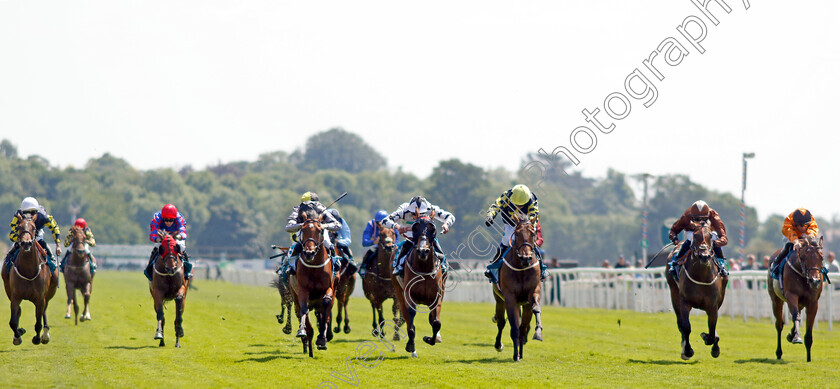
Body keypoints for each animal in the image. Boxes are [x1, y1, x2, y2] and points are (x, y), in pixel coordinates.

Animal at [0, 214, 59, 344]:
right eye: (19, 227)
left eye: (33, 227)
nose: (26, 243)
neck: (28, 271)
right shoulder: (15, 296)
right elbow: (13, 322)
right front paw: (18, 334)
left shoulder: (40, 298)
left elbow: (38, 323)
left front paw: (37, 338)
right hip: (8, 290)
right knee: (19, 312)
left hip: (49, 293)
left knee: (44, 311)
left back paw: (45, 335)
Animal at [288, 205, 336, 356]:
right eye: (303, 229)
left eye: (320, 230)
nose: (309, 253)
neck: (314, 265)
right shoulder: (302, 289)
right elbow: (304, 308)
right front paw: (302, 330)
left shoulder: (329, 287)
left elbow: (326, 304)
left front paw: (322, 339)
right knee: (303, 312)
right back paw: (308, 344)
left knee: (325, 312)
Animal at [394, 214, 446, 356]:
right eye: (415, 228)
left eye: (432, 229)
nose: (423, 251)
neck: (424, 269)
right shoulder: (408, 296)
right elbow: (410, 319)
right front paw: (411, 345)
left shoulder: (437, 297)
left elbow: (436, 323)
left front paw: (430, 339)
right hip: (399, 293)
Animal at [492, 214, 544, 360]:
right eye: (516, 233)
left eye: (533, 234)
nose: (526, 258)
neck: (521, 268)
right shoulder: (510, 298)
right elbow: (514, 326)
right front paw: (516, 355)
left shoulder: (533, 293)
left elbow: (535, 310)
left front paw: (538, 333)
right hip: (499, 299)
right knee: (501, 322)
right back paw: (499, 345)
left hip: (523, 304)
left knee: (522, 327)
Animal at [668, 220, 724, 360]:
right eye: (695, 236)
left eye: (710, 237)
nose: (704, 256)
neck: (701, 276)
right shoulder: (685, 302)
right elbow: (686, 327)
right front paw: (687, 351)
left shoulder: (713, 305)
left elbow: (712, 329)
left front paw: (713, 345)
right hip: (674, 293)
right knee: (680, 323)